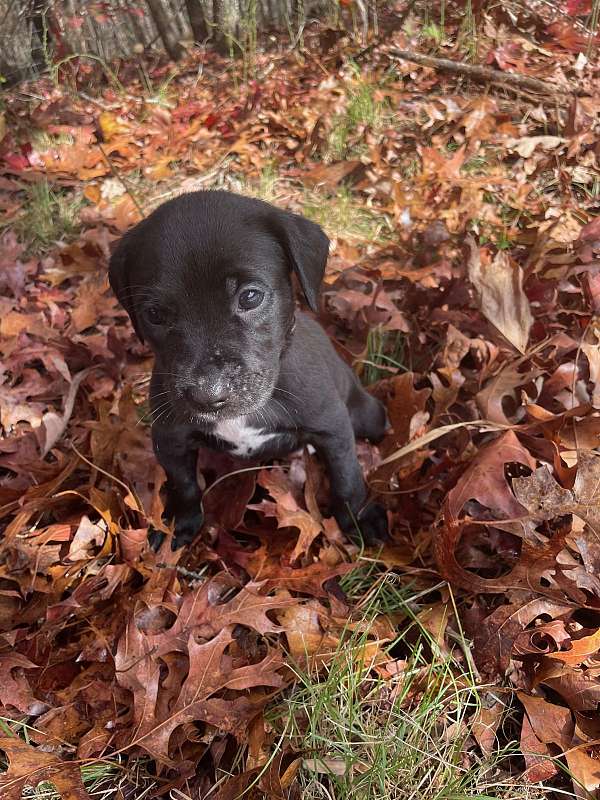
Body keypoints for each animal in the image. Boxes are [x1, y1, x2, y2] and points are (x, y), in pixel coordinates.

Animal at [109, 191, 386, 548]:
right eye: (155, 314)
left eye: (251, 297)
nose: (207, 396)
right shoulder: (170, 438)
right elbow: (184, 484)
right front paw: (179, 522)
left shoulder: (333, 427)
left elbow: (346, 476)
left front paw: (359, 517)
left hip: (367, 415)